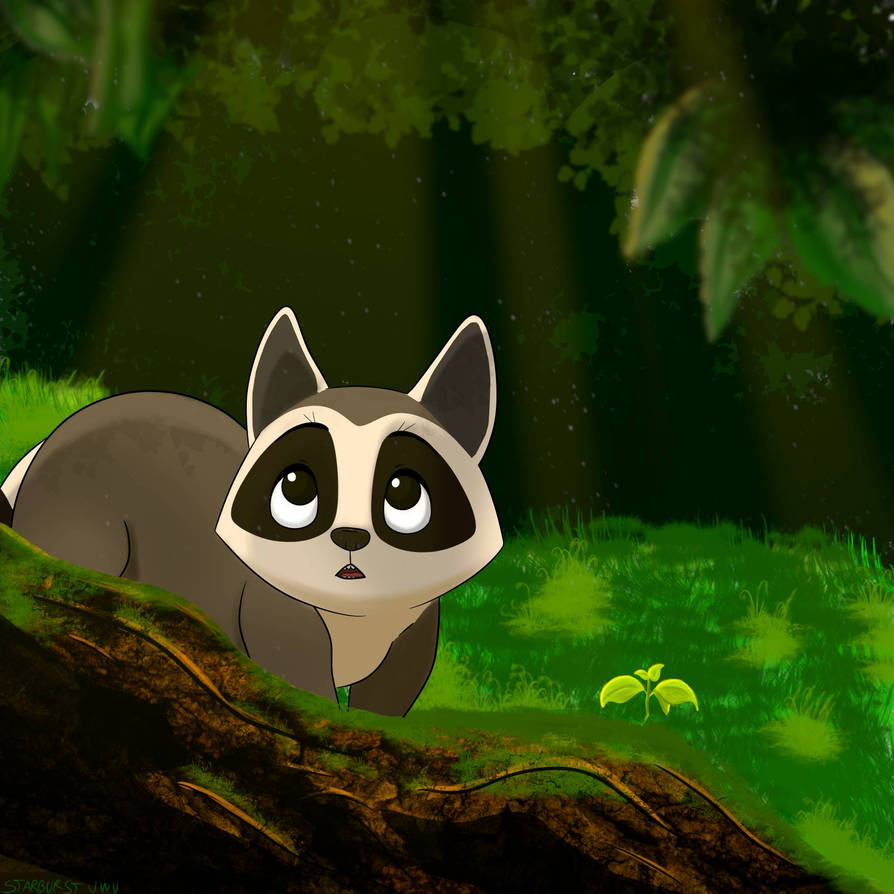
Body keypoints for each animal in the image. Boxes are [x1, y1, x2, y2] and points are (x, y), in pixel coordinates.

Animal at [0, 308, 503, 716]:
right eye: (296, 488)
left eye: (404, 494)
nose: (350, 537)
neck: (355, 615)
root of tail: (44, 445)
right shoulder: (272, 609)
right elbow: (304, 684)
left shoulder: (416, 625)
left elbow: (389, 698)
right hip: (79, 514)